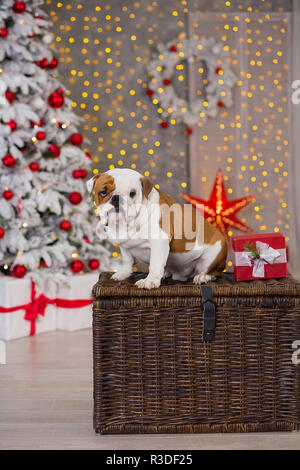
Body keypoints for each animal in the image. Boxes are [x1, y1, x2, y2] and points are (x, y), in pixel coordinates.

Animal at [86, 167, 227, 288]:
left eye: (132, 194)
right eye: (103, 193)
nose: (116, 198)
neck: (130, 223)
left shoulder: (159, 241)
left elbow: (155, 263)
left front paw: (150, 280)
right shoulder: (124, 245)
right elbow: (127, 261)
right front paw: (124, 273)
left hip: (214, 255)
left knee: (213, 272)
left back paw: (203, 277)